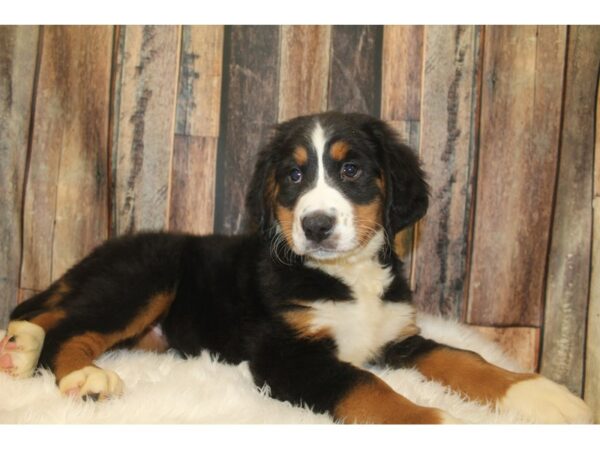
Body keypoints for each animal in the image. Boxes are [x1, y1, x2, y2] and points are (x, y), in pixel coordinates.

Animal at [0, 111, 592, 422]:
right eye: (292, 176)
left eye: (352, 170)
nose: (317, 225)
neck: (347, 278)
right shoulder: (286, 354)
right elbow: (365, 386)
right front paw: (437, 423)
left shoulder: (397, 337)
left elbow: (465, 358)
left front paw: (543, 395)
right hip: (147, 277)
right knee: (70, 329)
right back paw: (82, 376)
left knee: (51, 315)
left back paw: (19, 348)